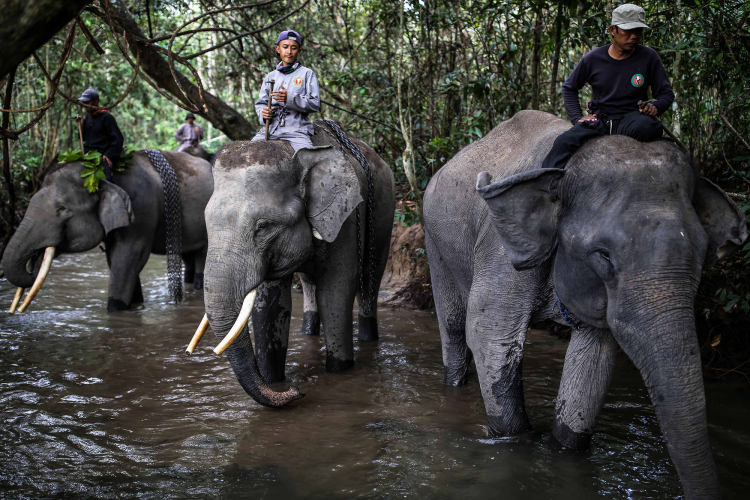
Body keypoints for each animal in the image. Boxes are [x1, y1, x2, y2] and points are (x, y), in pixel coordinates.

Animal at [2, 151, 214, 312]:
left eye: (61, 209)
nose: (33, 266)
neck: (107, 177)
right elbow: (115, 259)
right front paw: (135, 304)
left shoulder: (142, 209)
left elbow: (128, 256)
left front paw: (115, 310)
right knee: (189, 256)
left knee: (202, 258)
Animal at [199, 121, 395, 407]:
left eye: (264, 226)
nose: (297, 390)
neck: (291, 151)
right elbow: (270, 304)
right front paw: (273, 380)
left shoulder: (345, 220)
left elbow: (335, 293)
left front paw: (338, 371)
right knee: (310, 285)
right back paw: (308, 332)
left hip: (384, 213)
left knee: (370, 279)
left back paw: (369, 337)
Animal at [423, 110, 746, 499]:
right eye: (603, 254)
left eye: (702, 254)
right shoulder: (500, 249)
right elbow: (489, 335)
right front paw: (517, 445)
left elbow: (594, 355)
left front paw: (563, 449)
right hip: (435, 242)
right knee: (455, 329)